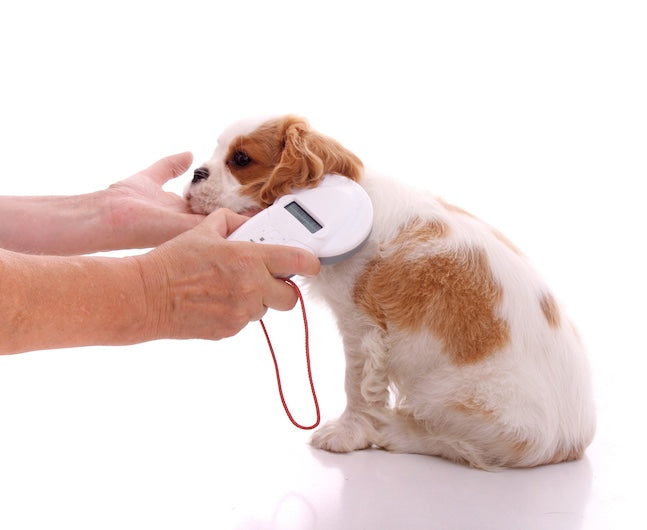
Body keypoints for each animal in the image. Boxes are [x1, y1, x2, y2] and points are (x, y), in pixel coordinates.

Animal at [185, 114, 596, 466]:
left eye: (241, 159)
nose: (196, 174)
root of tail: (571, 441)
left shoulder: (361, 327)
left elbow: (356, 384)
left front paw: (346, 434)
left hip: (447, 394)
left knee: (464, 444)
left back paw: (395, 431)